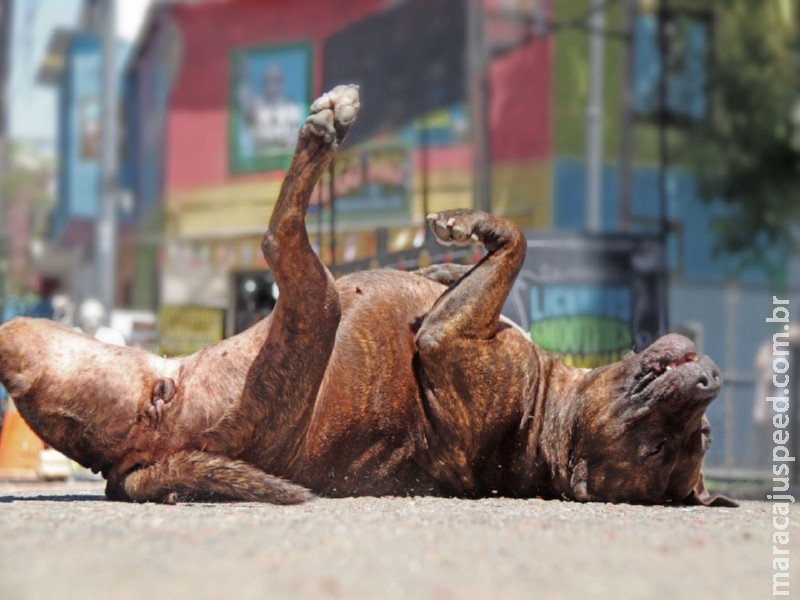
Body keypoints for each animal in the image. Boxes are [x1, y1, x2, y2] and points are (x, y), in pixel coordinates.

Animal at [0, 85, 736, 506]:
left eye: (662, 448)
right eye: (689, 437)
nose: (709, 382)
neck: (546, 418)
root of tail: (134, 462)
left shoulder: (446, 337)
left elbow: (518, 243)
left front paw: (468, 227)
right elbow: (478, 266)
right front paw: (449, 256)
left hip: (310, 305)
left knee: (281, 237)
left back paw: (327, 124)